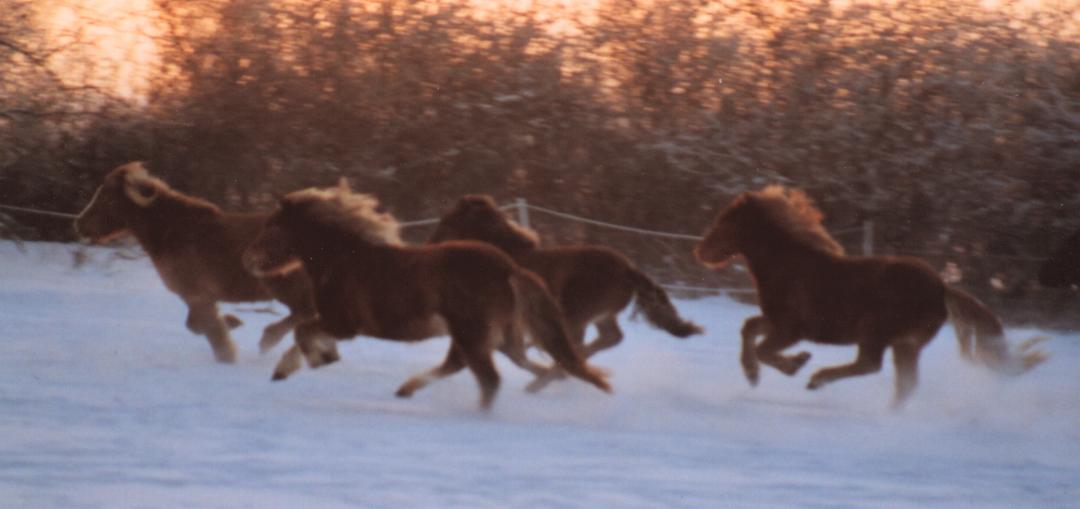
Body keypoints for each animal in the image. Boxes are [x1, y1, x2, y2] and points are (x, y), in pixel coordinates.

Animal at [72, 163, 313, 363]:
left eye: (107, 197)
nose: (79, 224)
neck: (172, 231)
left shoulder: (197, 295)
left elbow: (208, 329)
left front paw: (228, 353)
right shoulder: (198, 298)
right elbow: (196, 325)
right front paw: (232, 322)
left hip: (284, 286)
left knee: (304, 313)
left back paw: (269, 339)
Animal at [240, 183, 613, 410]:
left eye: (272, 226)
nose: (250, 261)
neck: (343, 259)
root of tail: (508, 267)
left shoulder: (343, 323)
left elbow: (302, 332)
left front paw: (320, 359)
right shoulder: (334, 322)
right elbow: (300, 334)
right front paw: (287, 369)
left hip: (469, 331)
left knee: (488, 378)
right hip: (490, 334)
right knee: (507, 362)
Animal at [425, 193, 704, 393]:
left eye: (448, 220)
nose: (430, 243)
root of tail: (628, 269)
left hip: (575, 312)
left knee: (576, 344)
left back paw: (544, 381)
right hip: (599, 315)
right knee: (609, 338)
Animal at [691, 184, 1045, 408]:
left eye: (726, 222)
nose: (700, 251)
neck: (788, 266)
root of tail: (942, 288)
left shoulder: (792, 329)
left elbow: (763, 348)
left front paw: (795, 364)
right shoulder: (776, 321)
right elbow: (749, 329)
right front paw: (753, 374)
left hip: (876, 331)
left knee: (870, 365)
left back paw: (817, 379)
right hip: (905, 344)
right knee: (905, 385)